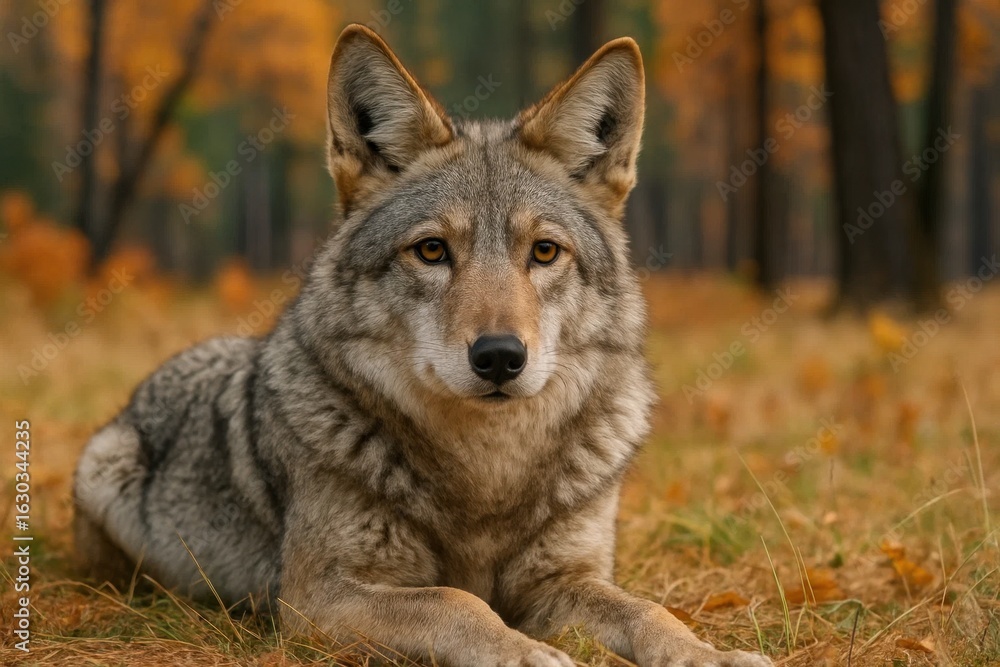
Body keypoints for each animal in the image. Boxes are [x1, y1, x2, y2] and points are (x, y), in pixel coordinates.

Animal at [74, 24, 772, 667]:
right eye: (432, 251)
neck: (487, 468)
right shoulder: (318, 596)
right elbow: (457, 601)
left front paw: (709, 654)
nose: (499, 356)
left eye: (545, 252)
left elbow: (650, 611)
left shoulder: (565, 579)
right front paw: (524, 652)